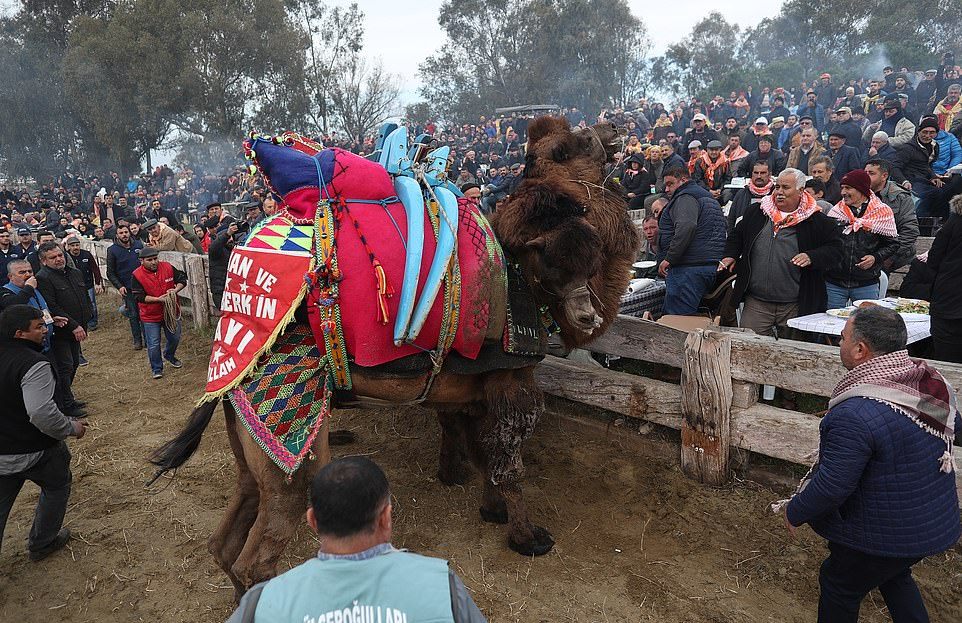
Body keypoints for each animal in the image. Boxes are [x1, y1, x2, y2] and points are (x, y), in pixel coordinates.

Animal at [148, 117, 636, 600]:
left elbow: (477, 447)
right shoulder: (512, 377)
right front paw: (528, 537)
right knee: (256, 558)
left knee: (225, 540)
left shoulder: (468, 384)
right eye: (576, 142)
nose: (614, 127)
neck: (519, 271)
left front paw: (479, 498)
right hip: (290, 441)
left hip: (248, 444)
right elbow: (508, 462)